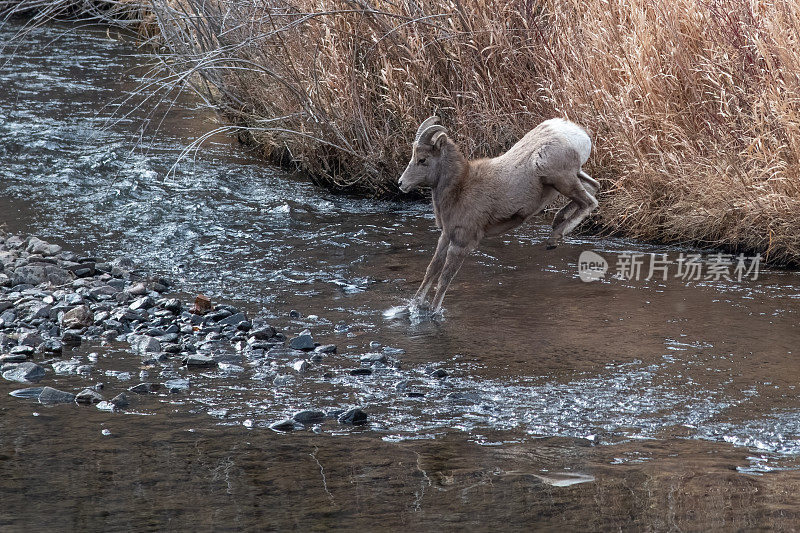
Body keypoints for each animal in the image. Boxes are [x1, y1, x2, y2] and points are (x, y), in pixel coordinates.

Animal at [396, 114, 596, 310]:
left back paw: (553, 239)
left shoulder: (461, 243)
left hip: (559, 177)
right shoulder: (446, 236)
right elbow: (431, 270)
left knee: (590, 201)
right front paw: (413, 307)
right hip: (572, 177)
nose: (401, 183)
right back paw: (557, 222)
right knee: (594, 187)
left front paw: (433, 312)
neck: (460, 188)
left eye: (422, 159)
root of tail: (578, 134)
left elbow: (445, 278)